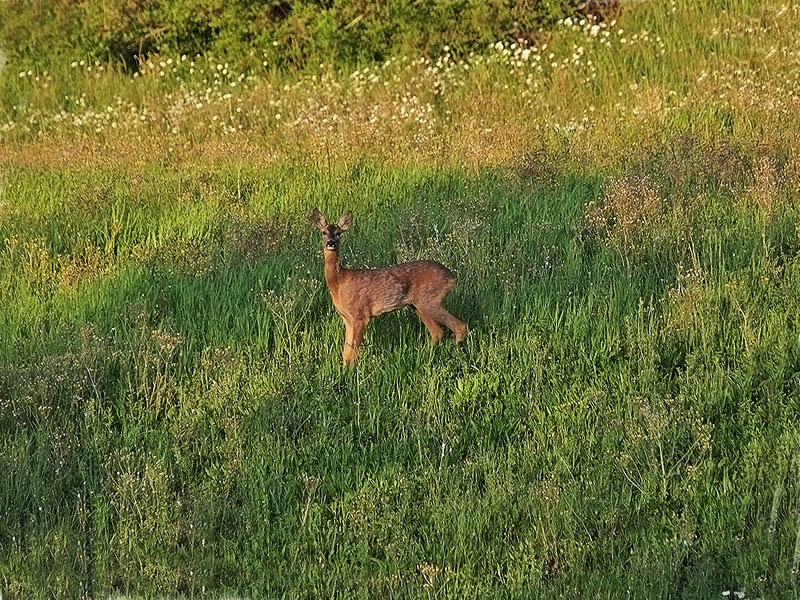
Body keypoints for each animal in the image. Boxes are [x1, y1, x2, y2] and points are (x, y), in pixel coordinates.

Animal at [310, 209, 466, 364]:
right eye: (323, 232)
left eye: (339, 233)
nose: (330, 243)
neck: (339, 282)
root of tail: (452, 277)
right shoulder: (347, 318)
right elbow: (346, 351)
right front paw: (343, 368)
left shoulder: (360, 314)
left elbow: (353, 352)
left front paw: (351, 370)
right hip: (418, 305)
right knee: (437, 332)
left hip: (430, 301)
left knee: (459, 327)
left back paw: (457, 355)